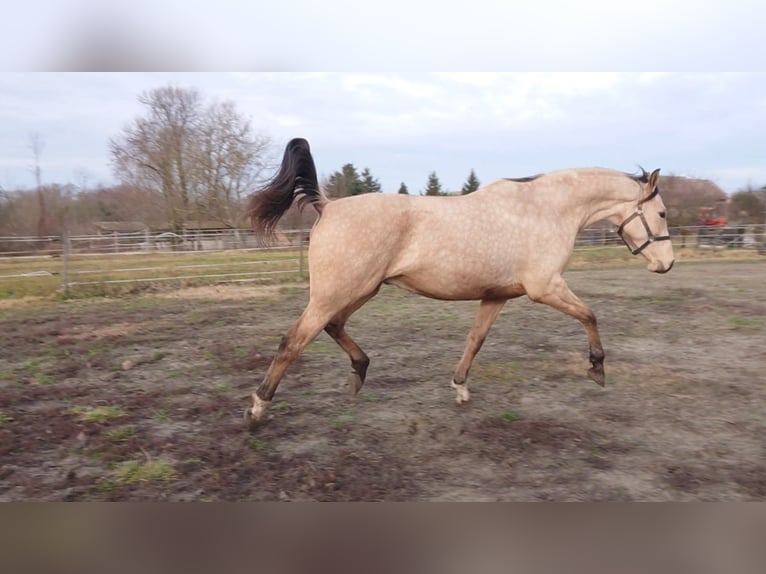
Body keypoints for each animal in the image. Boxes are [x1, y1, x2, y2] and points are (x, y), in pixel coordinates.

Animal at [244, 138, 672, 428]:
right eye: (663, 213)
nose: (666, 264)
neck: (546, 210)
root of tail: (327, 205)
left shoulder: (497, 296)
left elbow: (475, 340)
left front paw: (460, 386)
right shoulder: (545, 287)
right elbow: (590, 315)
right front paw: (597, 368)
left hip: (361, 290)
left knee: (333, 327)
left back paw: (359, 373)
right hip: (336, 293)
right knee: (293, 342)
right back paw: (258, 407)